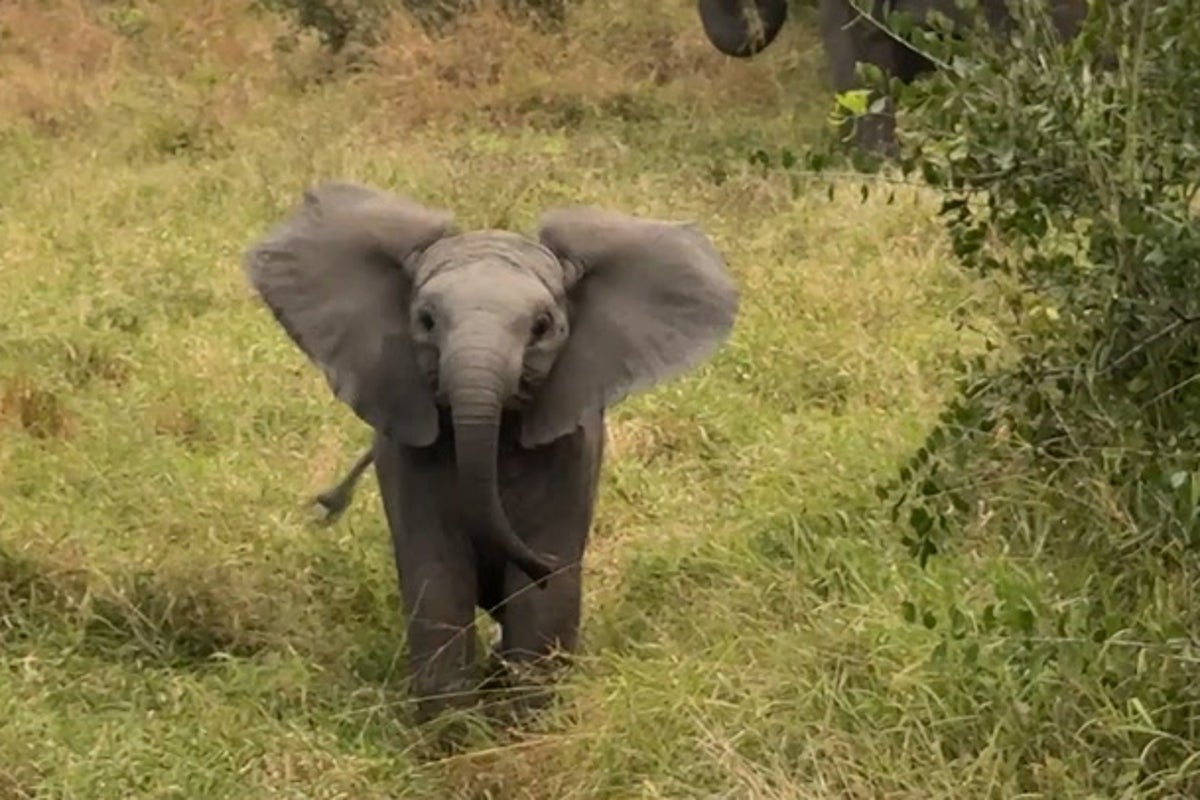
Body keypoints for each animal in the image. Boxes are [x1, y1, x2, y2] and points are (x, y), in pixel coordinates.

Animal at [242, 181, 738, 721]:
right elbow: (436, 578)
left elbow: (542, 595)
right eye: (426, 320)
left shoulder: (568, 451)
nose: (322, 504)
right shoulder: (408, 455)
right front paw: (453, 731)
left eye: (542, 325)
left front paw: (527, 725)